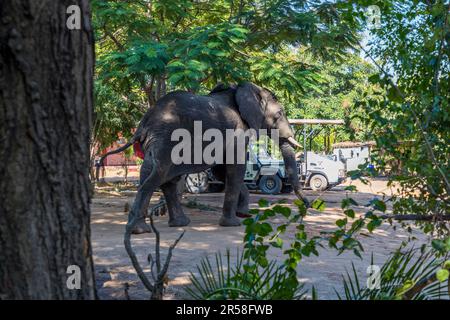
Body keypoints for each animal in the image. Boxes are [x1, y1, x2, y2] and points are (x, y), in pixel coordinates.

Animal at [97, 81, 310, 234]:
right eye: (280, 114)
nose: (306, 206)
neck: (243, 87)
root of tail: (144, 123)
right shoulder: (236, 131)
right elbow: (235, 168)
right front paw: (233, 223)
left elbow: (222, 170)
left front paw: (243, 214)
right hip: (168, 139)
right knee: (159, 174)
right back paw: (139, 230)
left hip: (156, 141)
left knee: (156, 174)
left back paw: (178, 223)